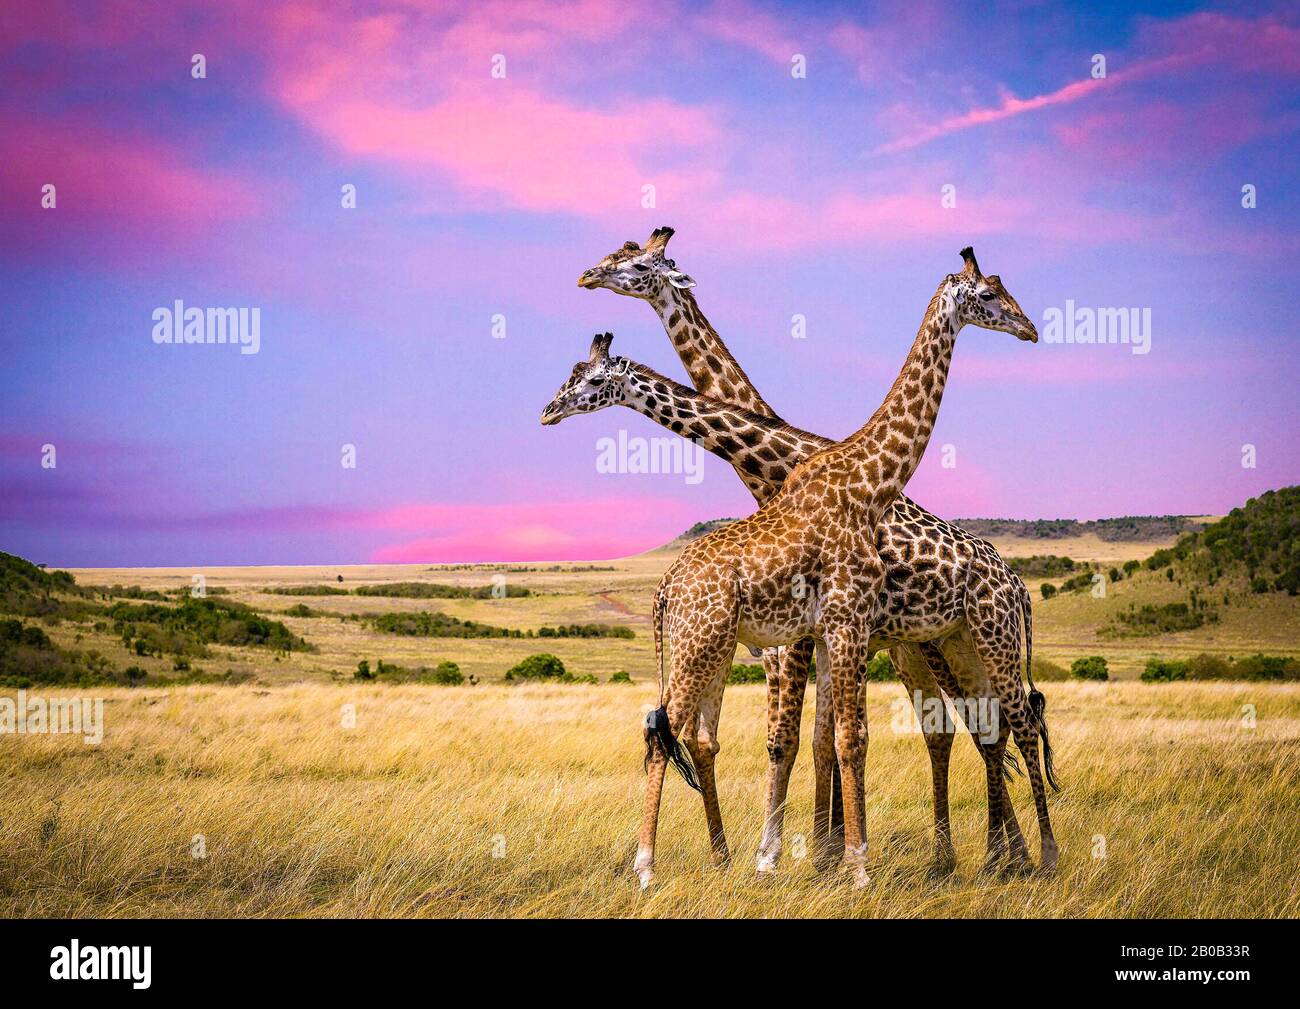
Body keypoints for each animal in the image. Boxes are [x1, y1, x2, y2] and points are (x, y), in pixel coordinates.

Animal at [579, 228, 1055, 873]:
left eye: (633, 262)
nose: (587, 276)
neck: (779, 467)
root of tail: (1018, 583)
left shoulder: (811, 638)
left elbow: (807, 740)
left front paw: (802, 855)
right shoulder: (804, 640)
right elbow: (809, 740)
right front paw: (816, 854)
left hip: (962, 642)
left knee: (998, 727)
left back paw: (1015, 858)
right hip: (938, 648)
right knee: (978, 730)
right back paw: (988, 857)